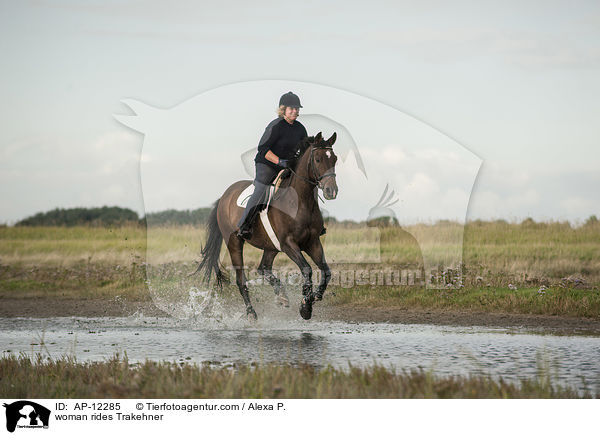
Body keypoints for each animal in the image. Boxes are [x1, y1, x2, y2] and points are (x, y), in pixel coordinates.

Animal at [195, 132, 340, 320]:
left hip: (270, 246)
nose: (332, 191)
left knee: (263, 267)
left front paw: (314, 297)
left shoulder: (312, 242)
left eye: (335, 159)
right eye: (317, 159)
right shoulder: (288, 244)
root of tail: (224, 197)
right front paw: (305, 307)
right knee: (241, 278)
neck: (300, 201)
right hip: (234, 243)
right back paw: (251, 313)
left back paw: (282, 296)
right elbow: (307, 269)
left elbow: (326, 271)